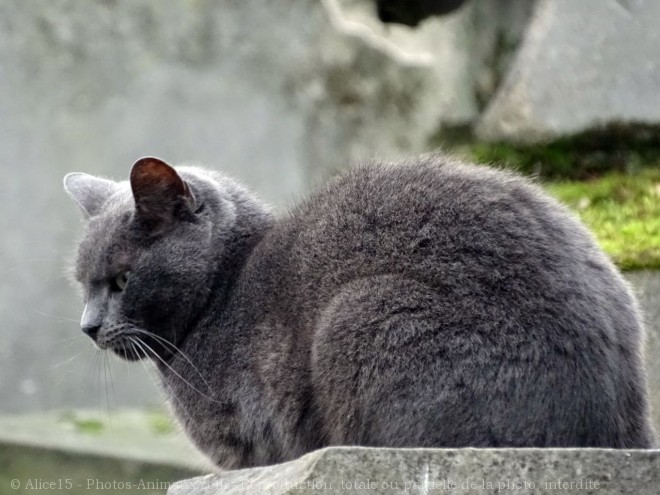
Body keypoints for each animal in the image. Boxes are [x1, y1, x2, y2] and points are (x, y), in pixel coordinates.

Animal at [63, 155, 656, 468]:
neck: (224, 289)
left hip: (363, 313)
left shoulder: (252, 441)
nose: (88, 326)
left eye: (121, 281)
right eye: (82, 285)